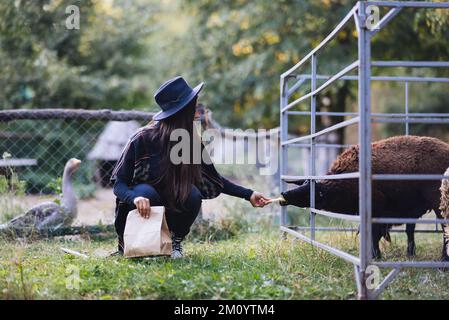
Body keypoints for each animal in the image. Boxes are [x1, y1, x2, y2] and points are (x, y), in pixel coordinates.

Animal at [280, 135, 448, 260]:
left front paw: (375, 256)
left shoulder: (376, 210)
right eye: (304, 184)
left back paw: (442, 259)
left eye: (314, 191)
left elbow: (374, 234)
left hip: (439, 202)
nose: (284, 194)